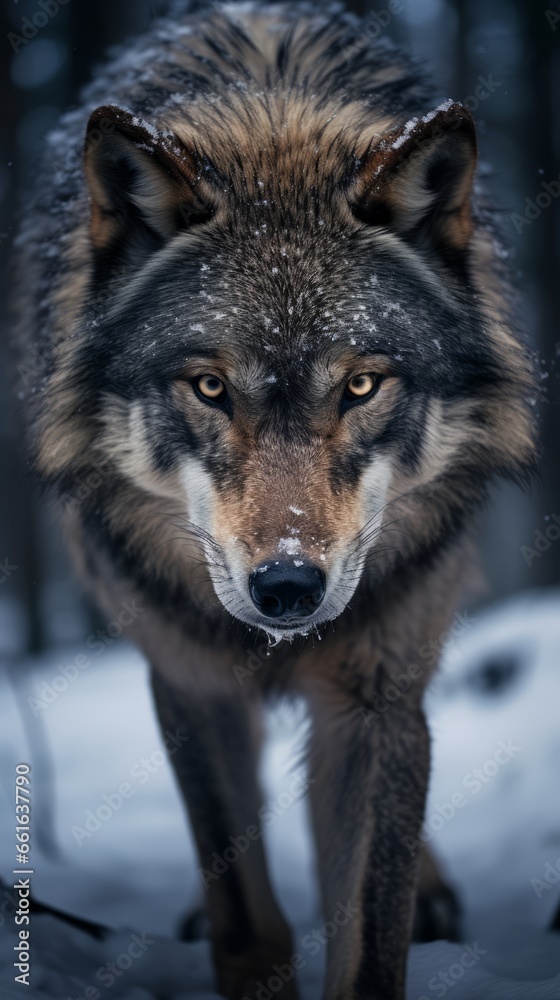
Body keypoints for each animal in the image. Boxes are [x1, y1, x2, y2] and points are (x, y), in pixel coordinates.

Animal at [15, 1, 537, 997]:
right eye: (211, 388)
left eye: (362, 386)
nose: (288, 587)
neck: (273, 127)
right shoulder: (189, 680)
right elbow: (246, 915)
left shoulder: (378, 697)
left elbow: (369, 931)